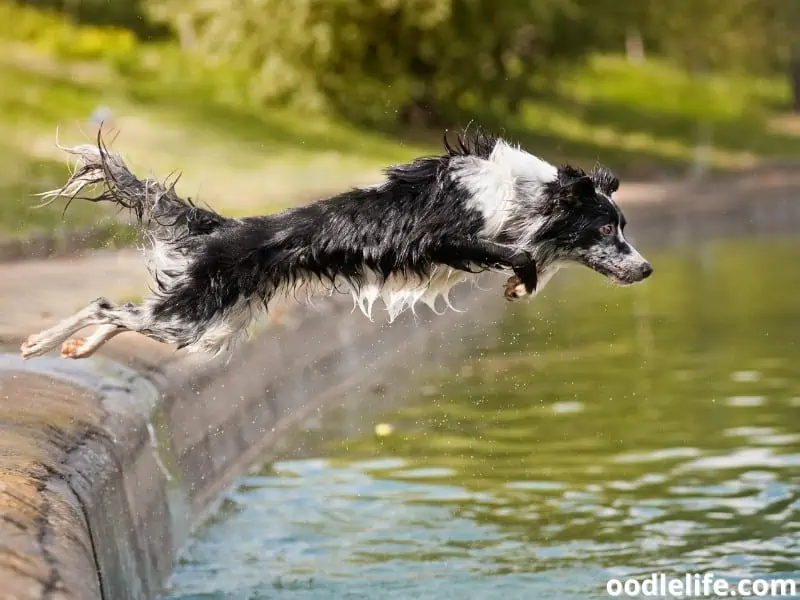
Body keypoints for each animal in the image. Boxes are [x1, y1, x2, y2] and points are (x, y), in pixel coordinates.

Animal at [21, 131, 652, 360]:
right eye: (604, 230)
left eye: (623, 226)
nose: (646, 270)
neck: (526, 197)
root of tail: (220, 227)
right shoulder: (443, 237)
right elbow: (515, 252)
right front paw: (522, 280)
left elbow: (522, 256)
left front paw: (522, 286)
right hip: (195, 316)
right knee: (105, 304)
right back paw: (35, 343)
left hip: (211, 326)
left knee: (120, 314)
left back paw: (76, 348)